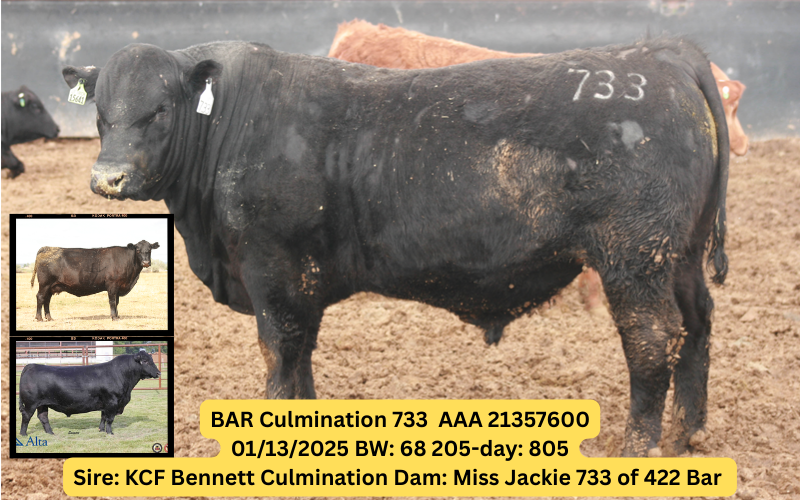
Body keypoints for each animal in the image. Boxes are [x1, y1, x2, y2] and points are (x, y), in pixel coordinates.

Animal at [18, 350, 161, 435]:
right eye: (145, 361)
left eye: (151, 360)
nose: (159, 373)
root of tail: (31, 365)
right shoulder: (112, 402)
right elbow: (110, 419)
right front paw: (110, 433)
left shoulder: (105, 404)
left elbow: (103, 417)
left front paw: (101, 430)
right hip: (31, 403)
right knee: (26, 417)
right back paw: (23, 434)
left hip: (42, 404)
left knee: (43, 417)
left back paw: (50, 433)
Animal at [30, 241, 159, 321]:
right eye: (137, 250)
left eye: (150, 249)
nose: (146, 262)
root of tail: (47, 248)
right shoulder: (112, 285)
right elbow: (112, 301)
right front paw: (114, 317)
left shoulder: (118, 287)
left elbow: (117, 302)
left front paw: (117, 316)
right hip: (45, 284)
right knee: (40, 297)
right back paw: (39, 318)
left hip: (51, 286)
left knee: (47, 300)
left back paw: (49, 318)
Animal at [63, 36, 729, 457]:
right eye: (100, 115)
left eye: (159, 110)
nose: (108, 179)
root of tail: (662, 53)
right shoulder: (300, 283)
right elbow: (301, 357)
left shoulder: (272, 269)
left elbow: (279, 354)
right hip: (680, 255)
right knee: (697, 324)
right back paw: (688, 434)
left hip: (634, 257)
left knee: (653, 340)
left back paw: (637, 448)